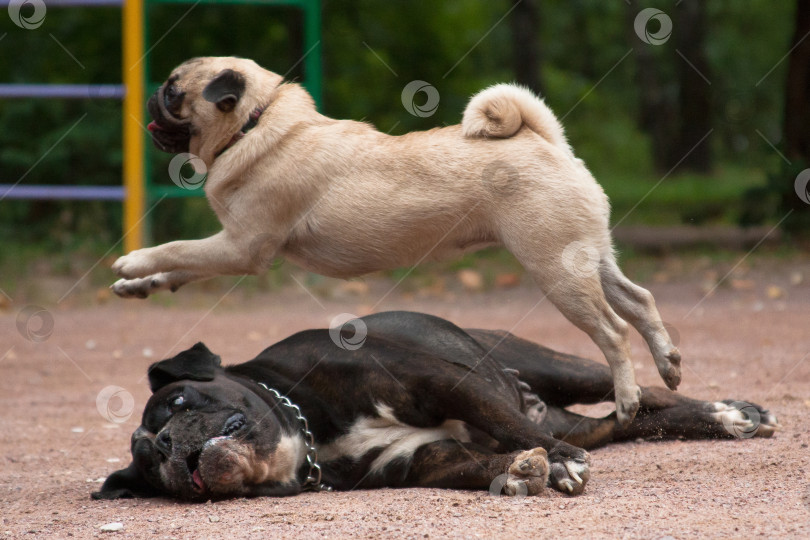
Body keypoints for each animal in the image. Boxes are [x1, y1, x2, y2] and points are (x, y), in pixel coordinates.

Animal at [94, 312, 776, 502]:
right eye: (151, 465)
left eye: (175, 401)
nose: (168, 447)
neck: (308, 433)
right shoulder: (424, 461)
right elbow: (484, 462)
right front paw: (530, 471)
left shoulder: (439, 380)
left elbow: (500, 422)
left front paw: (552, 462)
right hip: (584, 419)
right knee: (625, 422)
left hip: (550, 365)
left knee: (645, 391)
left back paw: (731, 413)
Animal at [110, 56, 680, 426]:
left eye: (173, 90)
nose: (151, 95)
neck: (254, 124)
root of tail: (546, 142)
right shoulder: (227, 246)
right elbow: (182, 265)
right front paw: (142, 285)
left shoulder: (239, 246)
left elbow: (177, 249)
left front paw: (133, 261)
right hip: (589, 256)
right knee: (640, 301)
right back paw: (669, 363)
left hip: (556, 269)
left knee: (613, 331)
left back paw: (628, 399)